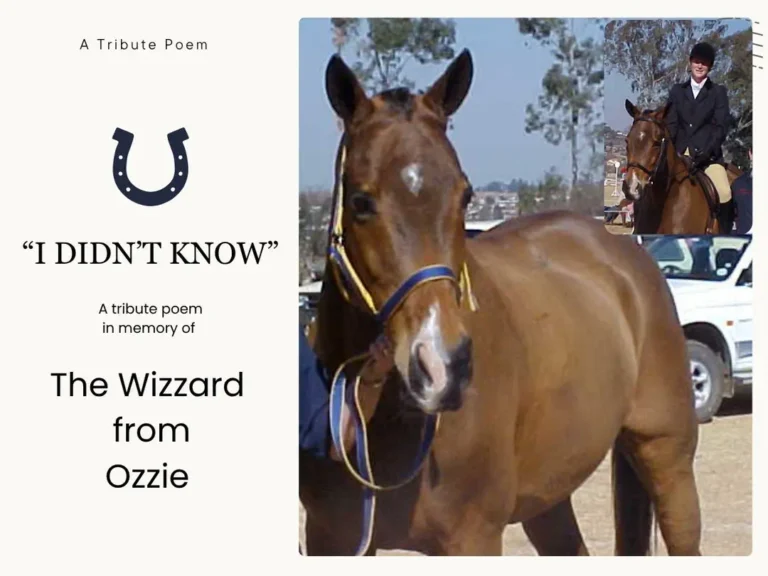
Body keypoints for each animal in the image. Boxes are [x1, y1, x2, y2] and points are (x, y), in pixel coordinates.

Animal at [299, 50, 702, 556]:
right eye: (360, 201)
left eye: (465, 194)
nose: (444, 367)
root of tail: (629, 255)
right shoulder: (330, 538)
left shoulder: (473, 536)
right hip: (551, 493)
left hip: (668, 459)